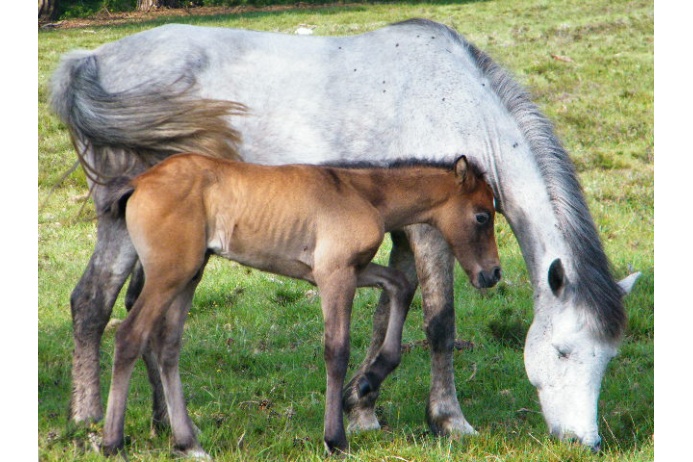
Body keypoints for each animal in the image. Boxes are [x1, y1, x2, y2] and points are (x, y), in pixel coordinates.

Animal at [50, 19, 636, 454]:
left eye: (608, 358)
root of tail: (90, 60)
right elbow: (439, 323)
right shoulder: (427, 234)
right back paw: (89, 421)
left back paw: (159, 422)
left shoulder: (394, 239)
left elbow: (388, 312)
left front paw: (362, 404)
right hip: (123, 230)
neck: (459, 102)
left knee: (133, 312)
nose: (585, 442)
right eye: (562, 352)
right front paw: (448, 419)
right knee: (94, 304)